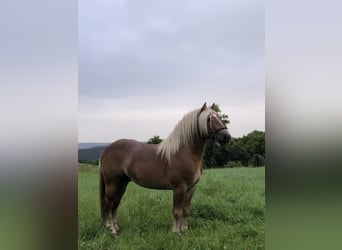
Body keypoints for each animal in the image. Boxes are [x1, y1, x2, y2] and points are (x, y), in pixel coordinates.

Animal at [100, 102, 231, 234]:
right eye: (209, 119)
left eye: (218, 117)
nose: (226, 136)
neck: (185, 152)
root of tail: (107, 150)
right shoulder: (179, 187)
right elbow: (177, 211)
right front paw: (176, 232)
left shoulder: (191, 188)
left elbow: (185, 210)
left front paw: (184, 230)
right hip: (112, 182)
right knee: (108, 203)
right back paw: (111, 229)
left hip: (122, 183)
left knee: (115, 203)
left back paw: (116, 227)